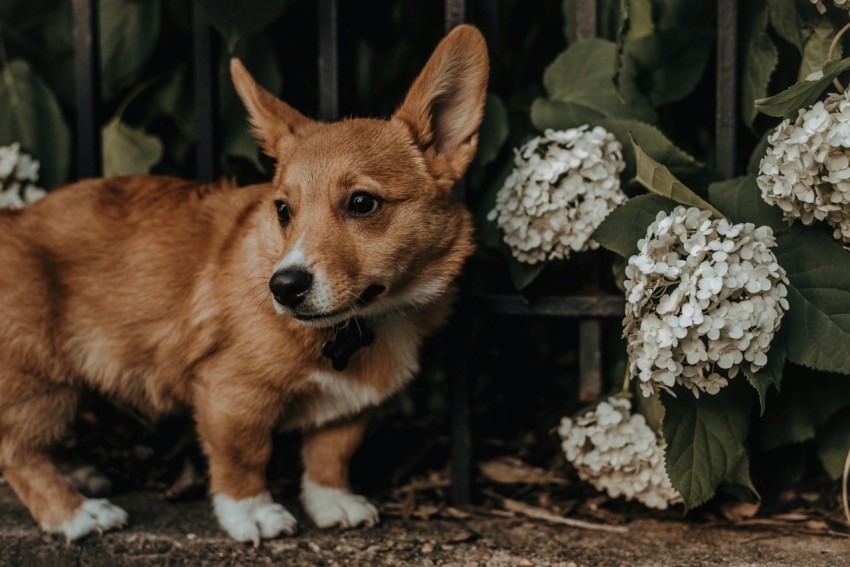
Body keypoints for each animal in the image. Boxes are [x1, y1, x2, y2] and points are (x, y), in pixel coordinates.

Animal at [0, 25, 486, 540]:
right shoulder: (232, 394)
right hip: (40, 376)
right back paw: (75, 512)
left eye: (362, 203)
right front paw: (252, 513)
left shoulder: (351, 406)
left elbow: (331, 454)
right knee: (16, 451)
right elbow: (244, 458)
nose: (284, 288)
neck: (362, 324)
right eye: (283, 210)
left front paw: (332, 501)